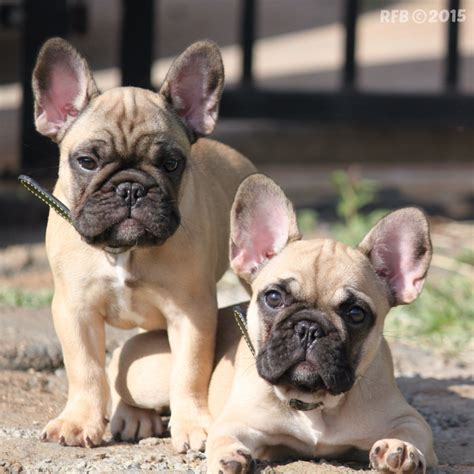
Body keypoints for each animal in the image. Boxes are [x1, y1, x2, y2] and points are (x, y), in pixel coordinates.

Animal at [31, 38, 256, 452]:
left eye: (170, 164)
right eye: (87, 161)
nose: (131, 188)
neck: (124, 251)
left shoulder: (192, 314)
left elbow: (189, 370)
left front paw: (193, 425)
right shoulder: (74, 309)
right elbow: (85, 368)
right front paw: (79, 422)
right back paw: (133, 415)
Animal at [109, 175, 436, 474]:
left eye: (356, 314)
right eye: (274, 297)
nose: (309, 329)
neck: (312, 402)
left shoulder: (408, 418)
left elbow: (411, 431)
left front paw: (400, 449)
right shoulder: (237, 422)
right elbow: (222, 437)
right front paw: (228, 456)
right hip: (152, 376)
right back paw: (134, 418)